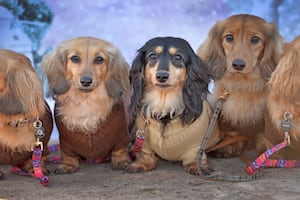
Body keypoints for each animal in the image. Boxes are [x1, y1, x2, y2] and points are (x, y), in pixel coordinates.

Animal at [41, 36, 132, 173]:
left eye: (99, 59)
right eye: (75, 58)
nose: (85, 81)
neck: (86, 100)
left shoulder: (121, 137)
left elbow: (120, 150)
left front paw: (122, 161)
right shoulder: (66, 142)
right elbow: (68, 154)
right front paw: (68, 165)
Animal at [125, 36, 219, 174]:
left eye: (178, 57)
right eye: (152, 56)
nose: (161, 76)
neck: (165, 105)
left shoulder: (195, 145)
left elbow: (194, 154)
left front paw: (196, 165)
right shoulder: (145, 143)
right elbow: (145, 152)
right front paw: (142, 163)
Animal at [197, 14, 284, 158]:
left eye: (255, 39)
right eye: (229, 37)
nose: (238, 64)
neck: (243, 84)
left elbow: (264, 134)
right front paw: (229, 144)